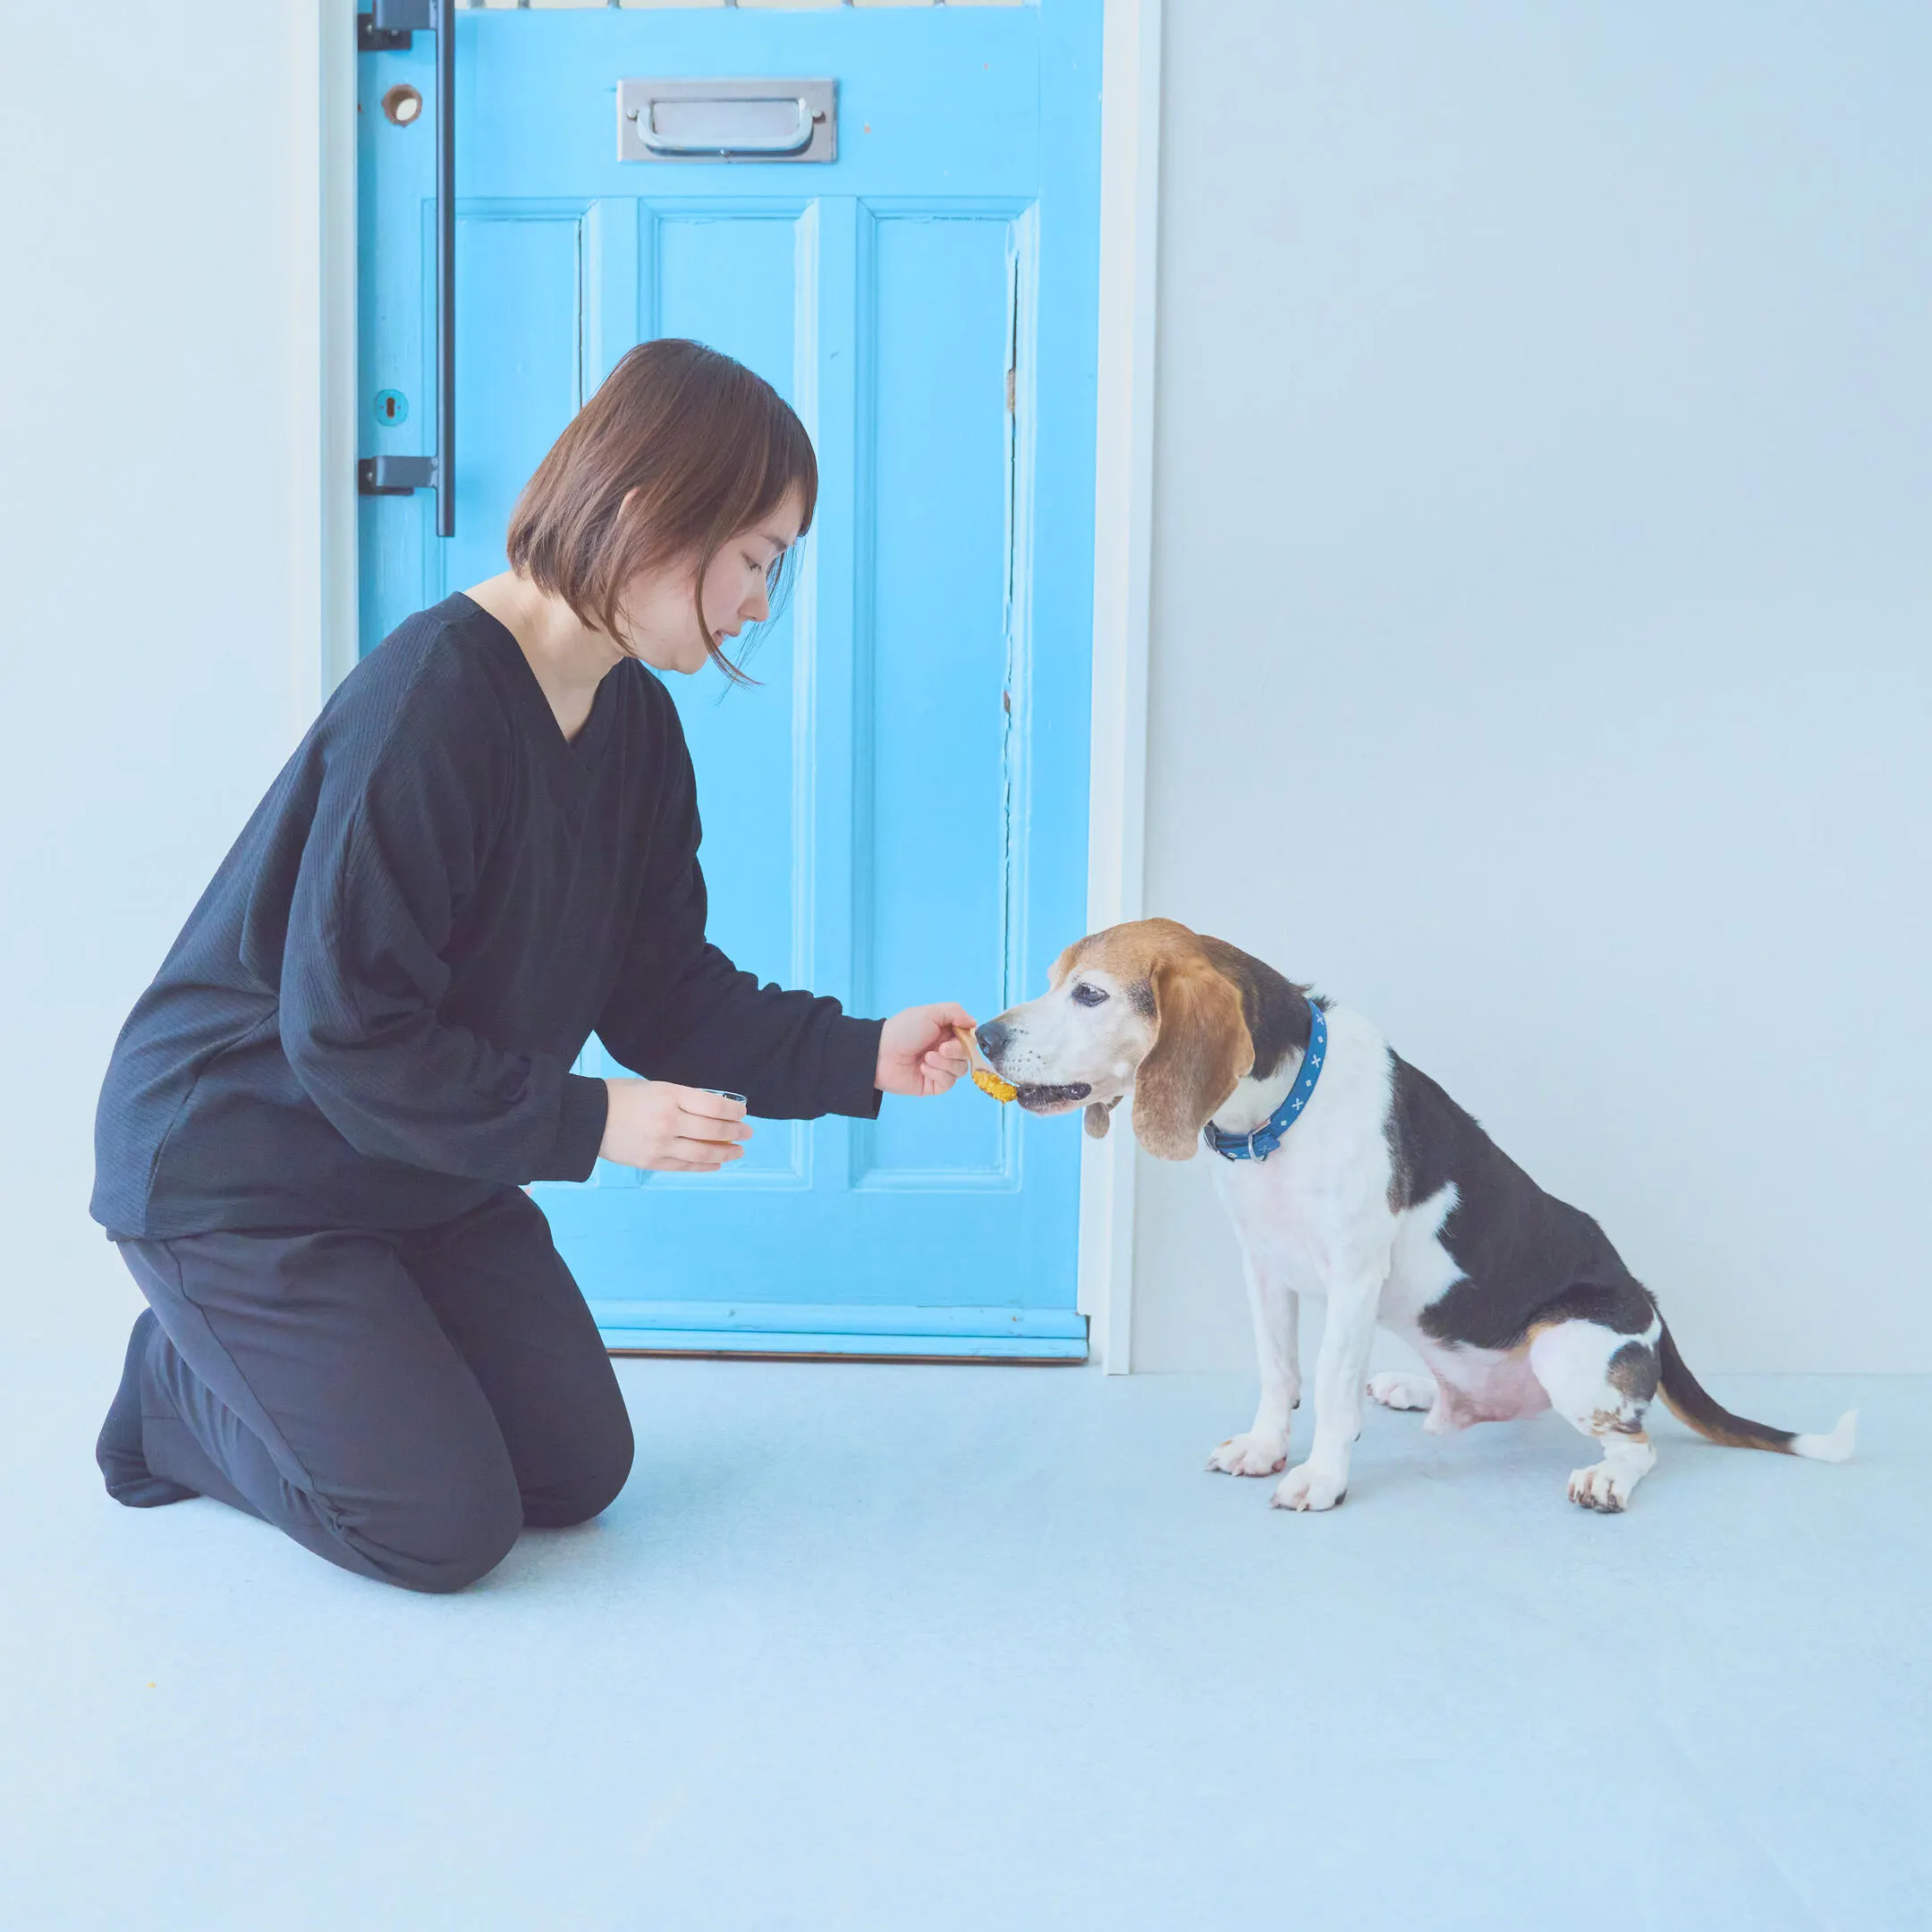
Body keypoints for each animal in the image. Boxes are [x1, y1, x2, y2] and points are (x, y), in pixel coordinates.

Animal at [977, 919, 1855, 1513]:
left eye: (1089, 993)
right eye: (1054, 980)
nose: (985, 1034)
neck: (1284, 1110)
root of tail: (1654, 1317)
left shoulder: (1353, 1276)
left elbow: (1329, 1384)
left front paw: (1320, 1478)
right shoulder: (1263, 1266)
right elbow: (1280, 1373)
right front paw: (1265, 1447)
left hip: (1568, 1349)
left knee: (1636, 1442)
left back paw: (1606, 1474)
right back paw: (1409, 1387)